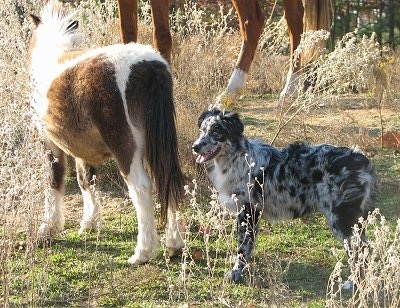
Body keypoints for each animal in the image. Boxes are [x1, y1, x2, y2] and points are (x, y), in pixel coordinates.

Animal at [28, 0, 185, 264]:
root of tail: (149, 65)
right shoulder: (83, 152)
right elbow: (86, 181)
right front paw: (89, 223)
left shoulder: (51, 143)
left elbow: (54, 180)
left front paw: (48, 228)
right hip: (158, 146)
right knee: (167, 178)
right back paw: (174, 245)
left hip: (126, 147)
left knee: (142, 187)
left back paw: (142, 252)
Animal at [193, 108, 378, 284]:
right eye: (202, 130)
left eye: (216, 131)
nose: (195, 146)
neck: (238, 159)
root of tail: (363, 162)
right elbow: (248, 247)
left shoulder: (248, 213)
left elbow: (242, 248)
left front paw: (236, 272)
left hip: (342, 221)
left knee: (360, 252)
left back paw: (353, 283)